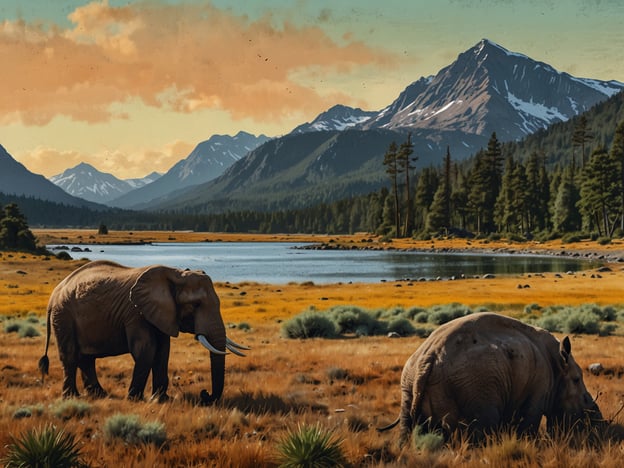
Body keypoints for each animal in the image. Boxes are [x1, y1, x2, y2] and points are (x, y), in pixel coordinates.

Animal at [37, 258, 249, 404]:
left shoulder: (161, 314)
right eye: (195, 305)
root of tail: (54, 294)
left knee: (86, 358)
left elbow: (163, 351)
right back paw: (72, 398)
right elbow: (147, 349)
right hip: (63, 317)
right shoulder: (135, 312)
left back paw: (99, 395)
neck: (175, 274)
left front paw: (161, 399)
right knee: (71, 356)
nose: (204, 394)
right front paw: (134, 399)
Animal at [378, 312, 604, 444]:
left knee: (408, 425)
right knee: (483, 425)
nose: (600, 422)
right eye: (576, 380)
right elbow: (529, 421)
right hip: (477, 380)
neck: (558, 360)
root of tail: (428, 360)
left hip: (409, 380)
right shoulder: (539, 387)